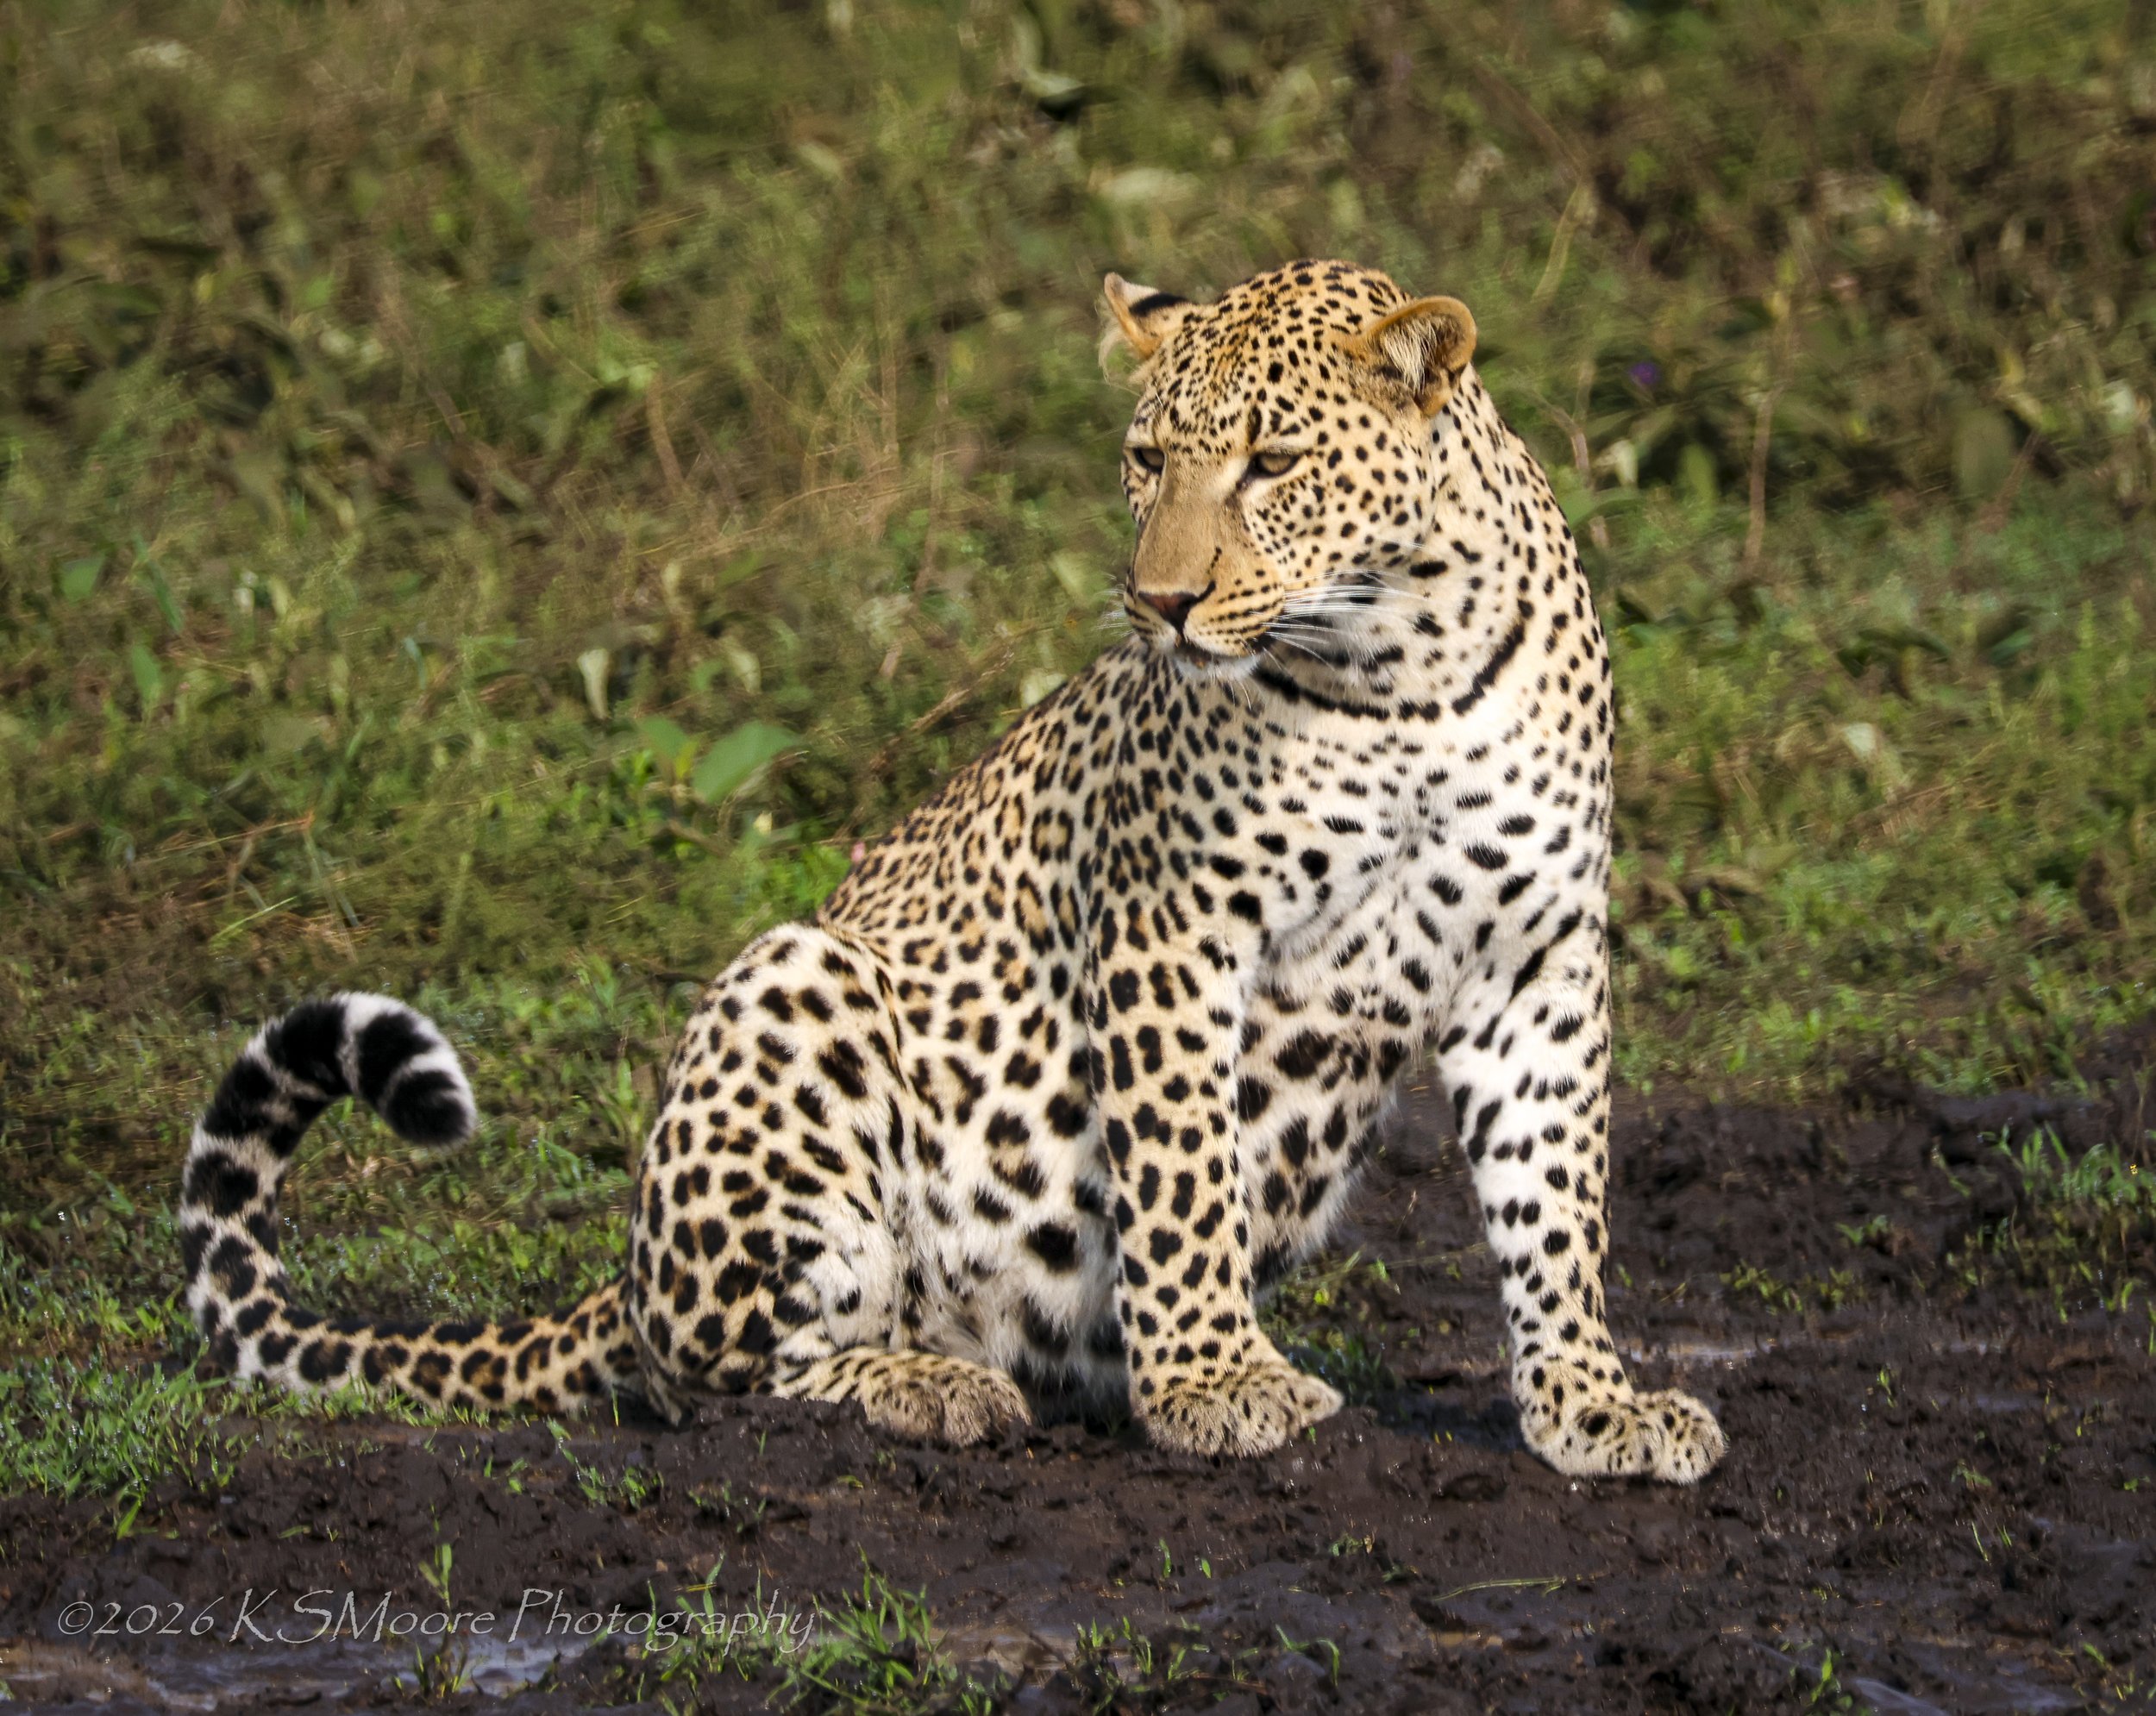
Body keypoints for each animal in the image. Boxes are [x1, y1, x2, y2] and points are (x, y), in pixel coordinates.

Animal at [176, 259, 1727, 1482]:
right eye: (1147, 459)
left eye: (1275, 464)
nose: (1158, 600)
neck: (1406, 667)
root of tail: (623, 1275)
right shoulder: (1170, 926)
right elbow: (1181, 1173)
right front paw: (1216, 1378)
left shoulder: (1537, 956)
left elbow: (1555, 1198)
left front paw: (1591, 1402)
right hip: (796, 985)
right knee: (726, 1369)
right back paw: (932, 1385)